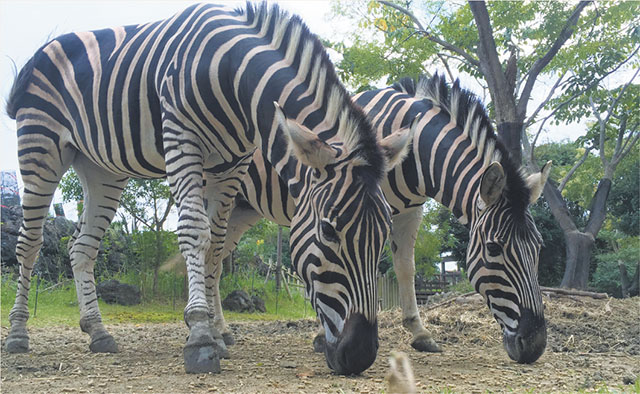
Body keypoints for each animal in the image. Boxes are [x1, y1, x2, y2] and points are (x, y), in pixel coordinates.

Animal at [3, 1, 410, 374]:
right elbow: (194, 232)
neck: (234, 75)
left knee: (81, 248)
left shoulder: (232, 165)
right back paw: (18, 334)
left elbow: (214, 246)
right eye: (328, 230)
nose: (362, 355)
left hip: (102, 168)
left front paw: (214, 334)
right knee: (30, 243)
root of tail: (46, 48)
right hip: (40, 146)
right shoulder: (182, 139)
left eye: (384, 234)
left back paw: (98, 332)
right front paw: (200, 336)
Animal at [214, 73, 552, 364]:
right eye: (494, 249)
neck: (416, 154)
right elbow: (355, 268)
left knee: (216, 258)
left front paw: (420, 333)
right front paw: (327, 335)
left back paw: (222, 330)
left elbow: (406, 268)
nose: (535, 346)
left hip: (243, 210)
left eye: (539, 248)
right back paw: (218, 332)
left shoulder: (411, 210)